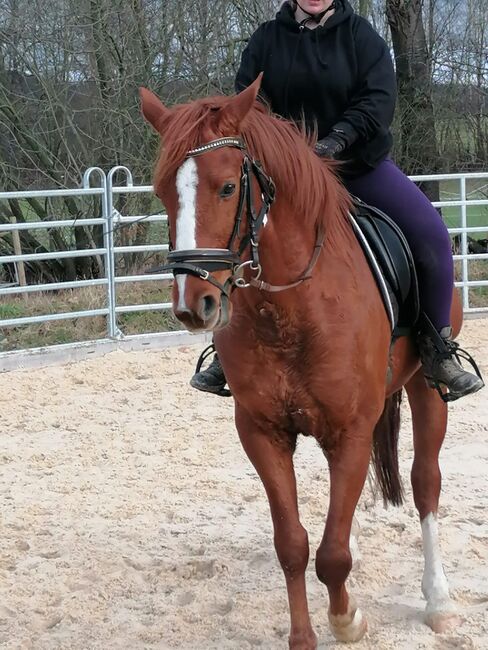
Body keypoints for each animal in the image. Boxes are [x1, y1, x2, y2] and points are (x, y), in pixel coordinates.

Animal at [141, 78, 462, 644]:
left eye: (228, 188)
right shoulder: (262, 433)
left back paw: (439, 600)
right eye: (162, 193)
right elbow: (292, 544)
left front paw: (347, 619)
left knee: (426, 483)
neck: (291, 307)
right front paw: (303, 637)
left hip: (427, 389)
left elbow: (332, 554)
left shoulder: (350, 433)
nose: (192, 304)